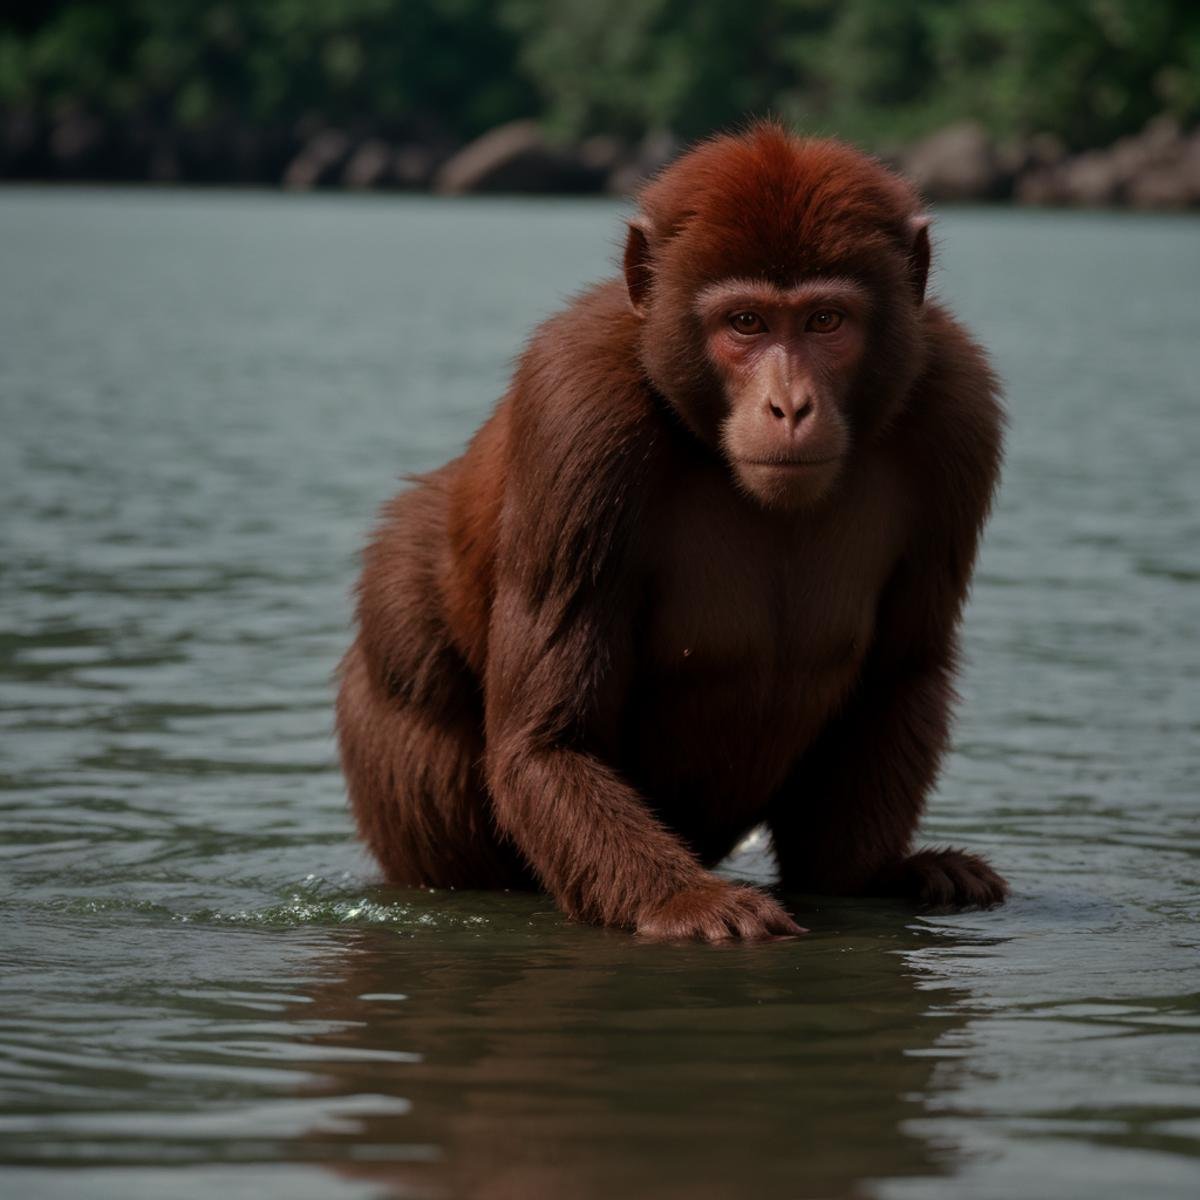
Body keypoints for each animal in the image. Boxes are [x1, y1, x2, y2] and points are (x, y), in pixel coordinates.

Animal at [333, 124, 1008, 945]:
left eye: (825, 321)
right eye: (746, 323)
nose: (790, 406)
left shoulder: (959, 407)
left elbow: (900, 673)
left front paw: (874, 876)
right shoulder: (578, 409)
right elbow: (548, 741)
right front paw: (685, 901)